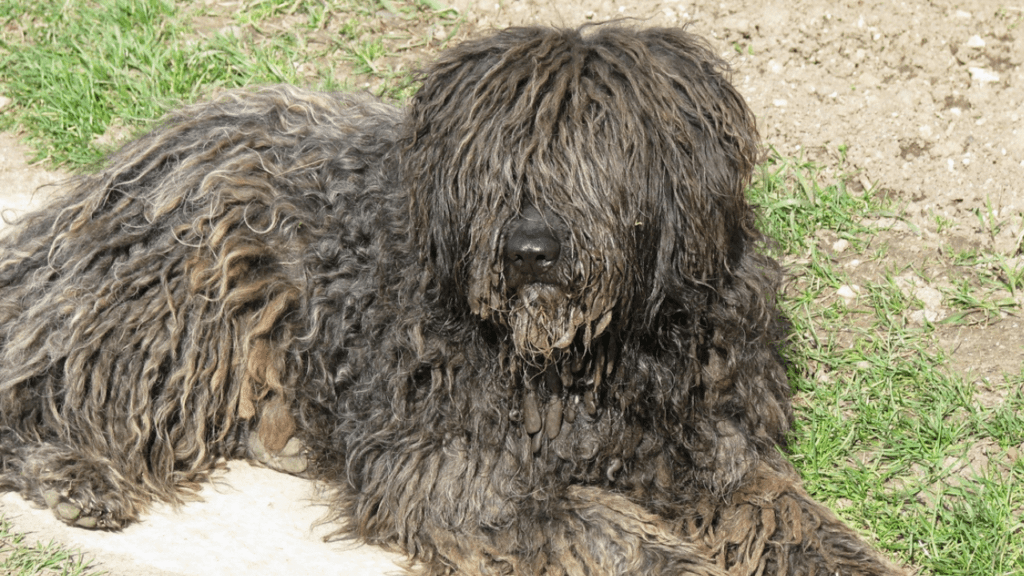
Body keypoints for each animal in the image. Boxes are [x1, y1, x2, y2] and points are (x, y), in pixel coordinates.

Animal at [0, 24, 905, 569]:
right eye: (496, 162)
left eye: (599, 154)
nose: (531, 248)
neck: (592, 362)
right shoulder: (452, 469)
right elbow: (611, 532)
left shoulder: (715, 449)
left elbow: (792, 518)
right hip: (171, 311)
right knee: (40, 390)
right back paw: (76, 471)